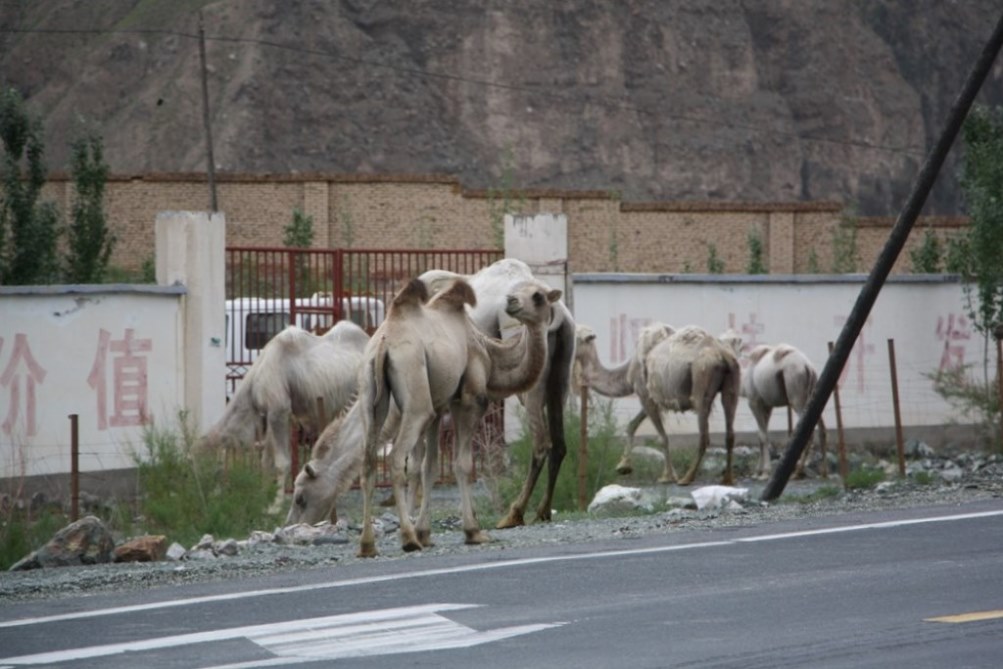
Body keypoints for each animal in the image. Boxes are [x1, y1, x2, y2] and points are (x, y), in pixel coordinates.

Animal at [198, 320, 369, 513]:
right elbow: (266, 460)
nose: (201, 498)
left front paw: (275, 506)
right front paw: (263, 497)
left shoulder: (278, 411)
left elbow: (282, 462)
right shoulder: (274, 415)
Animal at [417, 258, 577, 529]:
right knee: (559, 443)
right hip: (561, 375)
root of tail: (560, 314)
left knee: (541, 442)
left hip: (532, 381)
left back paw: (514, 514)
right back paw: (542, 511)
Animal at [742, 343, 826, 479]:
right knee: (822, 428)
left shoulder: (754, 402)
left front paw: (765, 473)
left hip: (796, 397)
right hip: (813, 396)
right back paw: (824, 472)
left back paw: (797, 472)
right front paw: (757, 472)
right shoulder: (767, 406)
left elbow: (763, 435)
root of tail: (809, 367)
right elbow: (761, 434)